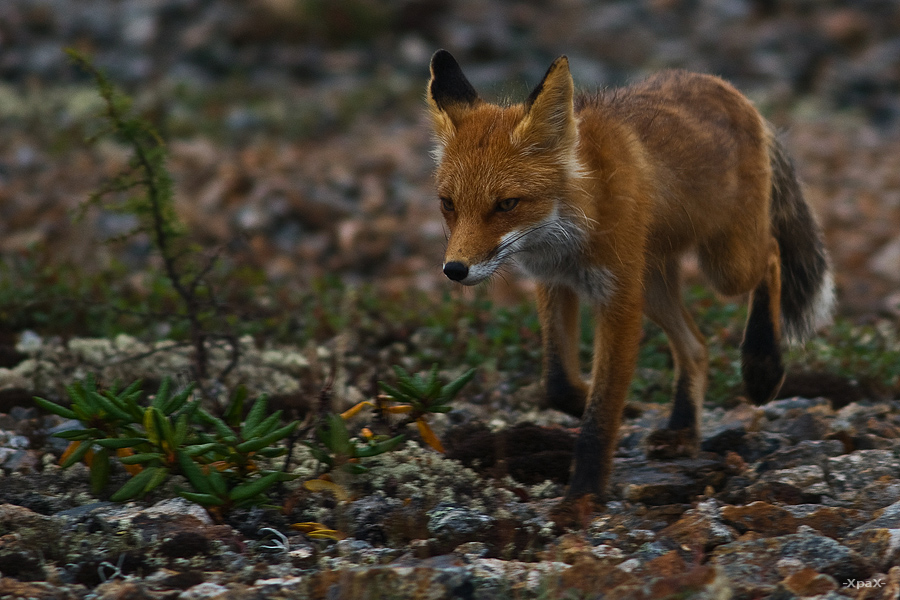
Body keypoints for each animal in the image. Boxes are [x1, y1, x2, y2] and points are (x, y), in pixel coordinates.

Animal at [428, 51, 836, 508]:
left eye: (506, 204)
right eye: (448, 204)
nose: (455, 269)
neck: (578, 215)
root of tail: (728, 88)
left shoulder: (618, 299)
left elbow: (602, 411)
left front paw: (582, 498)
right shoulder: (555, 284)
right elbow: (558, 383)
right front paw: (623, 411)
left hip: (725, 266)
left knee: (771, 255)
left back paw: (762, 366)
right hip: (653, 286)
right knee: (696, 346)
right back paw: (682, 431)